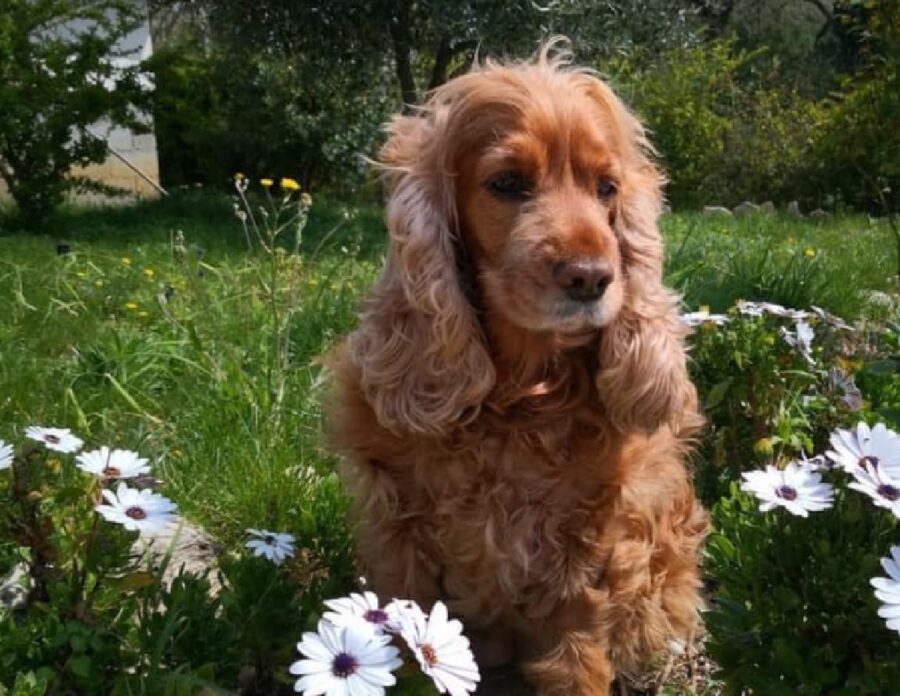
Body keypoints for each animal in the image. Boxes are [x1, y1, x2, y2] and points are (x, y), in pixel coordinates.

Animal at [326, 44, 708, 696]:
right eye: (507, 183)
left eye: (607, 188)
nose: (591, 277)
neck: (520, 395)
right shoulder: (398, 526)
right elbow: (402, 637)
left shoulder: (590, 539)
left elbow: (576, 656)